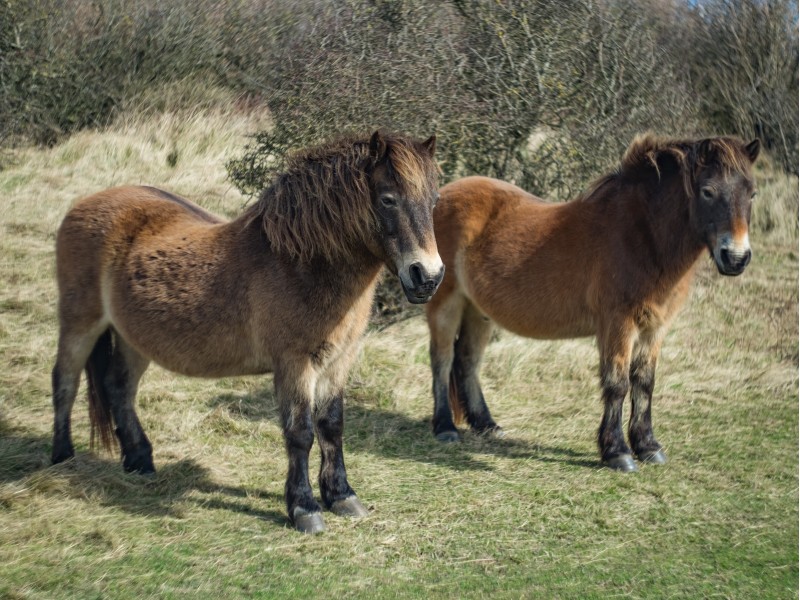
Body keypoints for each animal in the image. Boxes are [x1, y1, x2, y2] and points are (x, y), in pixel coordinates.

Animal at [51, 130, 444, 528]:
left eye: (433, 200)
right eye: (388, 199)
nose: (427, 277)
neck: (299, 265)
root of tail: (82, 206)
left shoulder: (338, 362)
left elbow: (332, 426)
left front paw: (342, 496)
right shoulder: (294, 364)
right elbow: (300, 433)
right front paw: (305, 509)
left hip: (133, 339)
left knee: (119, 388)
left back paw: (140, 461)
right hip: (80, 324)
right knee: (65, 381)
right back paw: (62, 459)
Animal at [422, 134, 760, 472]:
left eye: (752, 193)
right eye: (707, 191)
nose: (736, 258)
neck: (642, 236)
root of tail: (443, 196)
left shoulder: (655, 328)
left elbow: (644, 383)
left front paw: (648, 446)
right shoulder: (618, 324)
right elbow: (617, 384)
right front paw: (617, 452)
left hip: (478, 311)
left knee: (467, 361)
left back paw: (487, 425)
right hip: (446, 304)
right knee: (442, 360)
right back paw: (445, 428)